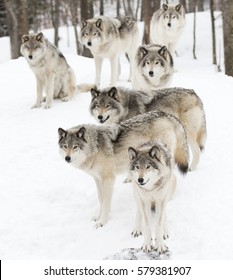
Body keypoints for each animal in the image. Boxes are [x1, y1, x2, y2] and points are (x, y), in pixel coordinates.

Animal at [58, 110, 189, 228]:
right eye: (65, 146)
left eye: (75, 147)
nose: (67, 158)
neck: (95, 146)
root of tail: (166, 115)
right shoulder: (97, 179)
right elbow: (101, 199)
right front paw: (98, 216)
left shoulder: (108, 179)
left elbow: (105, 202)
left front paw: (102, 221)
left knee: (172, 179)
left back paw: (168, 198)